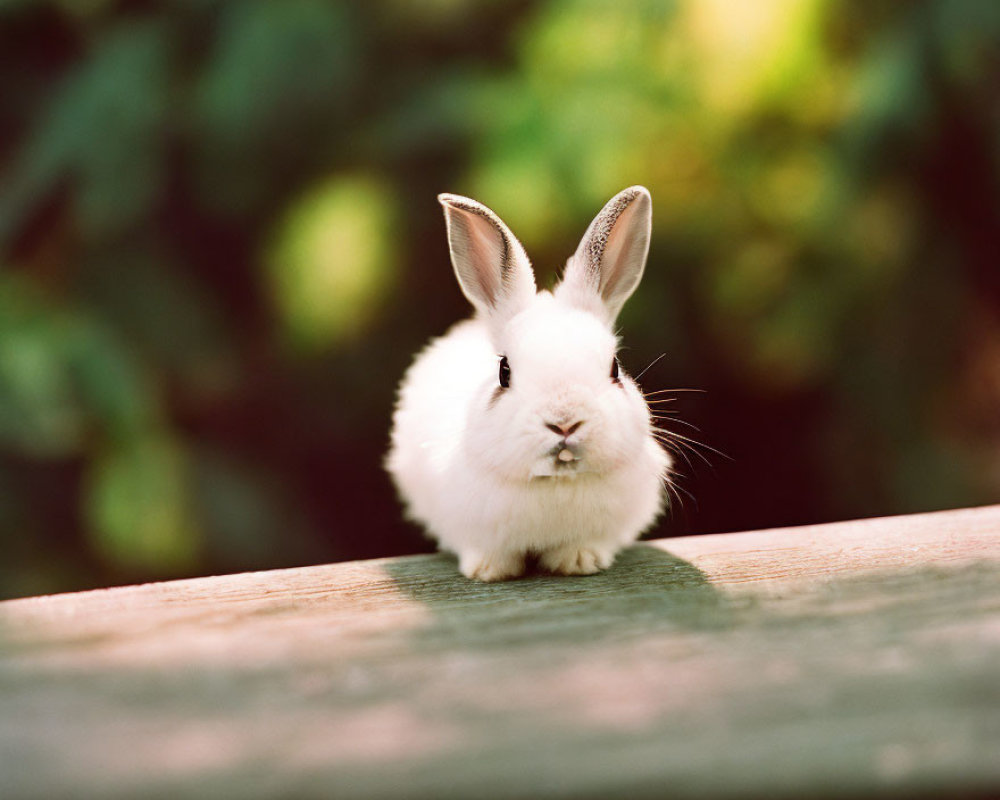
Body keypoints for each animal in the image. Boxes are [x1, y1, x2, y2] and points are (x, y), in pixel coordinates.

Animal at [382, 188, 672, 580]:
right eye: (504, 372)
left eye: (615, 368)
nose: (565, 422)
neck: (556, 482)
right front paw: (488, 572)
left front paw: (579, 562)